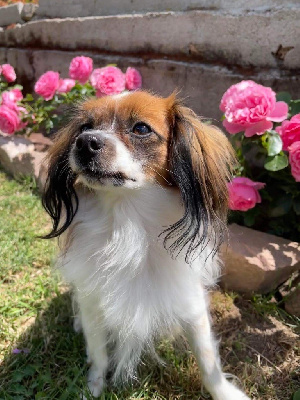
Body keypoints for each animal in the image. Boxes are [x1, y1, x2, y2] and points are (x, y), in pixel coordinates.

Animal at [41, 91, 248, 400]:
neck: (128, 222)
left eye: (140, 128)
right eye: (85, 127)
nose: (86, 142)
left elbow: (207, 358)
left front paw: (226, 392)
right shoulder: (95, 304)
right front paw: (94, 385)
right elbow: (99, 353)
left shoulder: (190, 301)